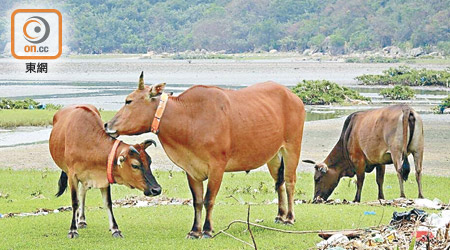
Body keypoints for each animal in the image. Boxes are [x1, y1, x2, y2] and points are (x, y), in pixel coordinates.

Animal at [48, 104, 162, 238]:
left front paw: (115, 229)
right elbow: (75, 202)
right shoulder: (72, 176)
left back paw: (81, 220)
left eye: (150, 162)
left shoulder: (104, 176)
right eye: (135, 165)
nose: (156, 189)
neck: (87, 143)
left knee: (83, 192)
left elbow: (108, 203)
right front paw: (72, 230)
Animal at [103, 72, 306, 238]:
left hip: (292, 148)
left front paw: (207, 230)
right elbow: (197, 201)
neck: (190, 117)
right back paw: (280, 215)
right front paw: (194, 231)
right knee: (279, 183)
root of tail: (293, 96)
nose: (106, 125)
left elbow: (209, 199)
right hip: (273, 156)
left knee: (290, 182)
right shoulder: (192, 170)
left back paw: (289, 217)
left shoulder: (217, 167)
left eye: (128, 101)